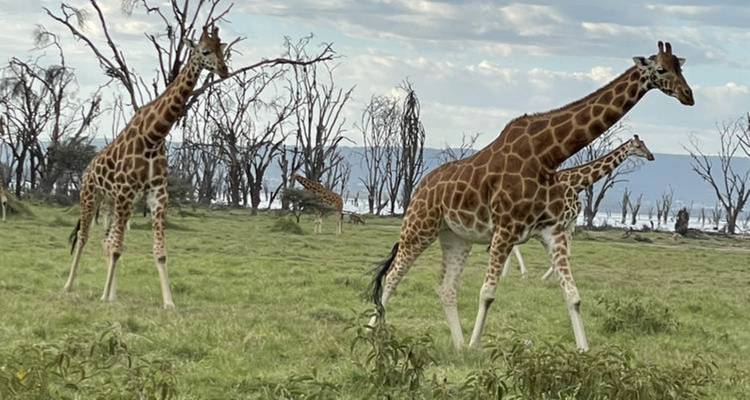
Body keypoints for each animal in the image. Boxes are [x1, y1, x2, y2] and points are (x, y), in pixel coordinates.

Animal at [63, 26, 229, 308]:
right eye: (205, 51)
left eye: (222, 49)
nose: (224, 70)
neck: (154, 137)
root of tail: (88, 167)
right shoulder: (126, 192)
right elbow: (117, 248)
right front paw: (103, 298)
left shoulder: (157, 194)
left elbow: (159, 252)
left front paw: (169, 303)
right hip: (91, 196)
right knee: (84, 238)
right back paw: (69, 286)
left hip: (112, 202)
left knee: (106, 240)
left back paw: (112, 293)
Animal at [500, 135, 655, 280]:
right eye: (638, 146)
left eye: (644, 144)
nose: (651, 156)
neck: (576, 185)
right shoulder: (560, 221)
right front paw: (546, 278)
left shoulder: (571, 223)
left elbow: (567, 253)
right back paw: (518, 274)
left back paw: (507, 274)